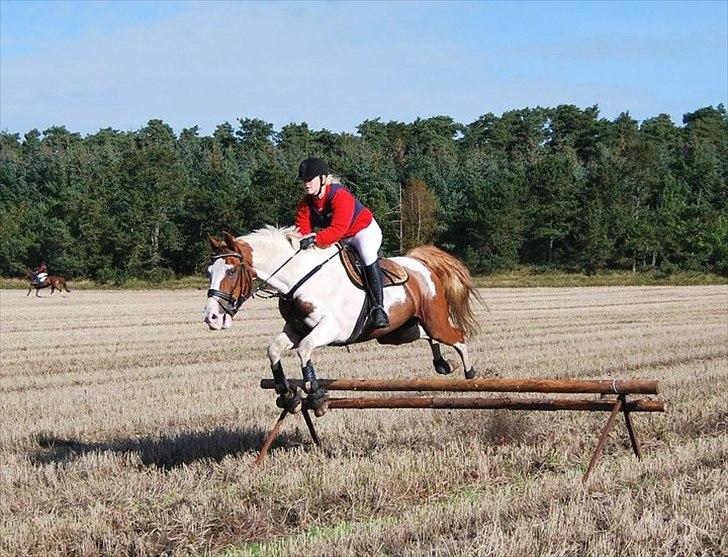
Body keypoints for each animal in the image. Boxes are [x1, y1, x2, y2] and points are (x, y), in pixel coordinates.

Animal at [203, 225, 484, 412]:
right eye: (209, 271)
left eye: (230, 271)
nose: (211, 318)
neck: (299, 278)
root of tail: (420, 263)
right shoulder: (295, 329)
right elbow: (274, 349)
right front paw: (286, 393)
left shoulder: (332, 329)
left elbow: (305, 350)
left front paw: (316, 393)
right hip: (400, 332)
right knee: (427, 336)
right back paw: (442, 363)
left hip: (434, 320)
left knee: (457, 336)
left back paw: (470, 373)